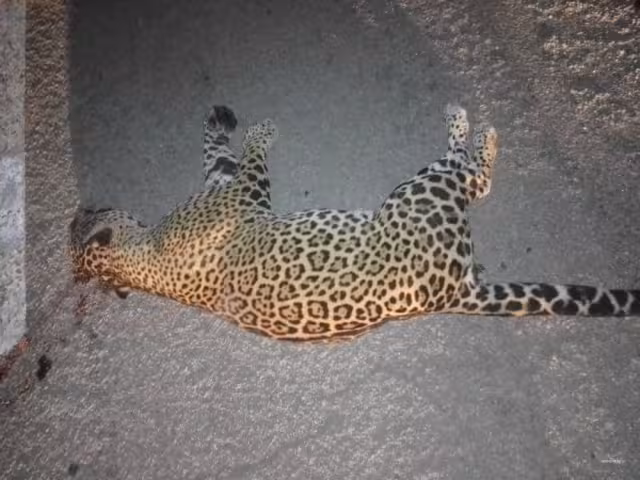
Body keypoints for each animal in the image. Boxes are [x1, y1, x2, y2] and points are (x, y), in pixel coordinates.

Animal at [69, 103, 640, 342]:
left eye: (86, 216)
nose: (82, 206)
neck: (141, 262)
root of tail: (455, 293)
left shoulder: (222, 185)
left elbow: (218, 152)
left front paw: (224, 120)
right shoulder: (242, 196)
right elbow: (253, 157)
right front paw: (262, 129)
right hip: (418, 192)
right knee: (471, 177)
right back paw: (471, 127)